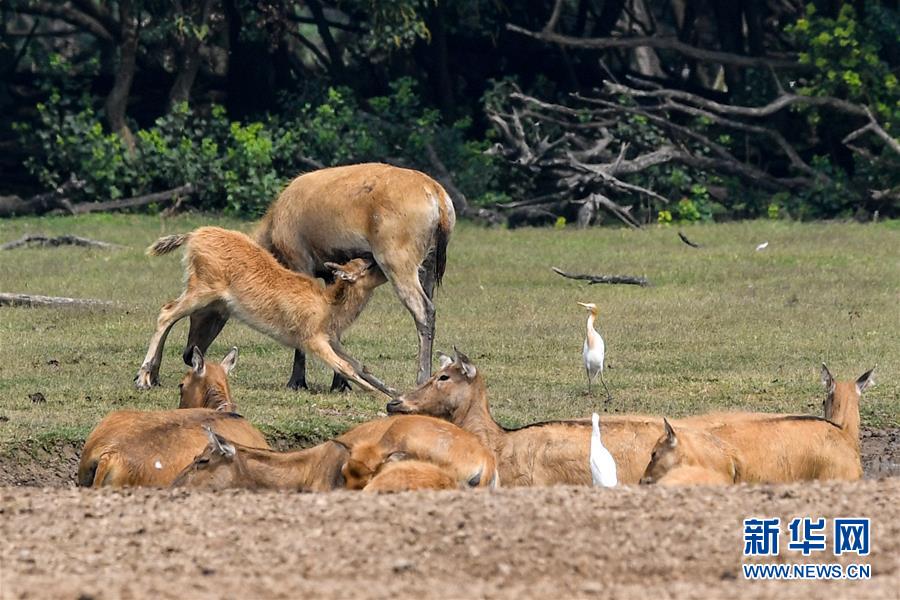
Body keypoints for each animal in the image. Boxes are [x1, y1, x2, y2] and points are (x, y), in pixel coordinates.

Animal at [134, 227, 394, 396]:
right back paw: (143, 378)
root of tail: (194, 235)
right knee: (166, 312)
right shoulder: (312, 340)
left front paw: (393, 391)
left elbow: (360, 365)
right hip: (202, 292)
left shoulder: (332, 340)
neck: (329, 306)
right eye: (366, 266)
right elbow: (345, 367)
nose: (383, 264)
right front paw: (381, 396)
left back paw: (152, 377)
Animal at [181, 163, 458, 390]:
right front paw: (340, 384)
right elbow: (333, 324)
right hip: (428, 264)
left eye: (202, 311)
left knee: (424, 310)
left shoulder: (299, 259)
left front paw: (297, 381)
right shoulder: (329, 271)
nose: (187, 354)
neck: (273, 234)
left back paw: (421, 379)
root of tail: (440, 199)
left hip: (396, 258)